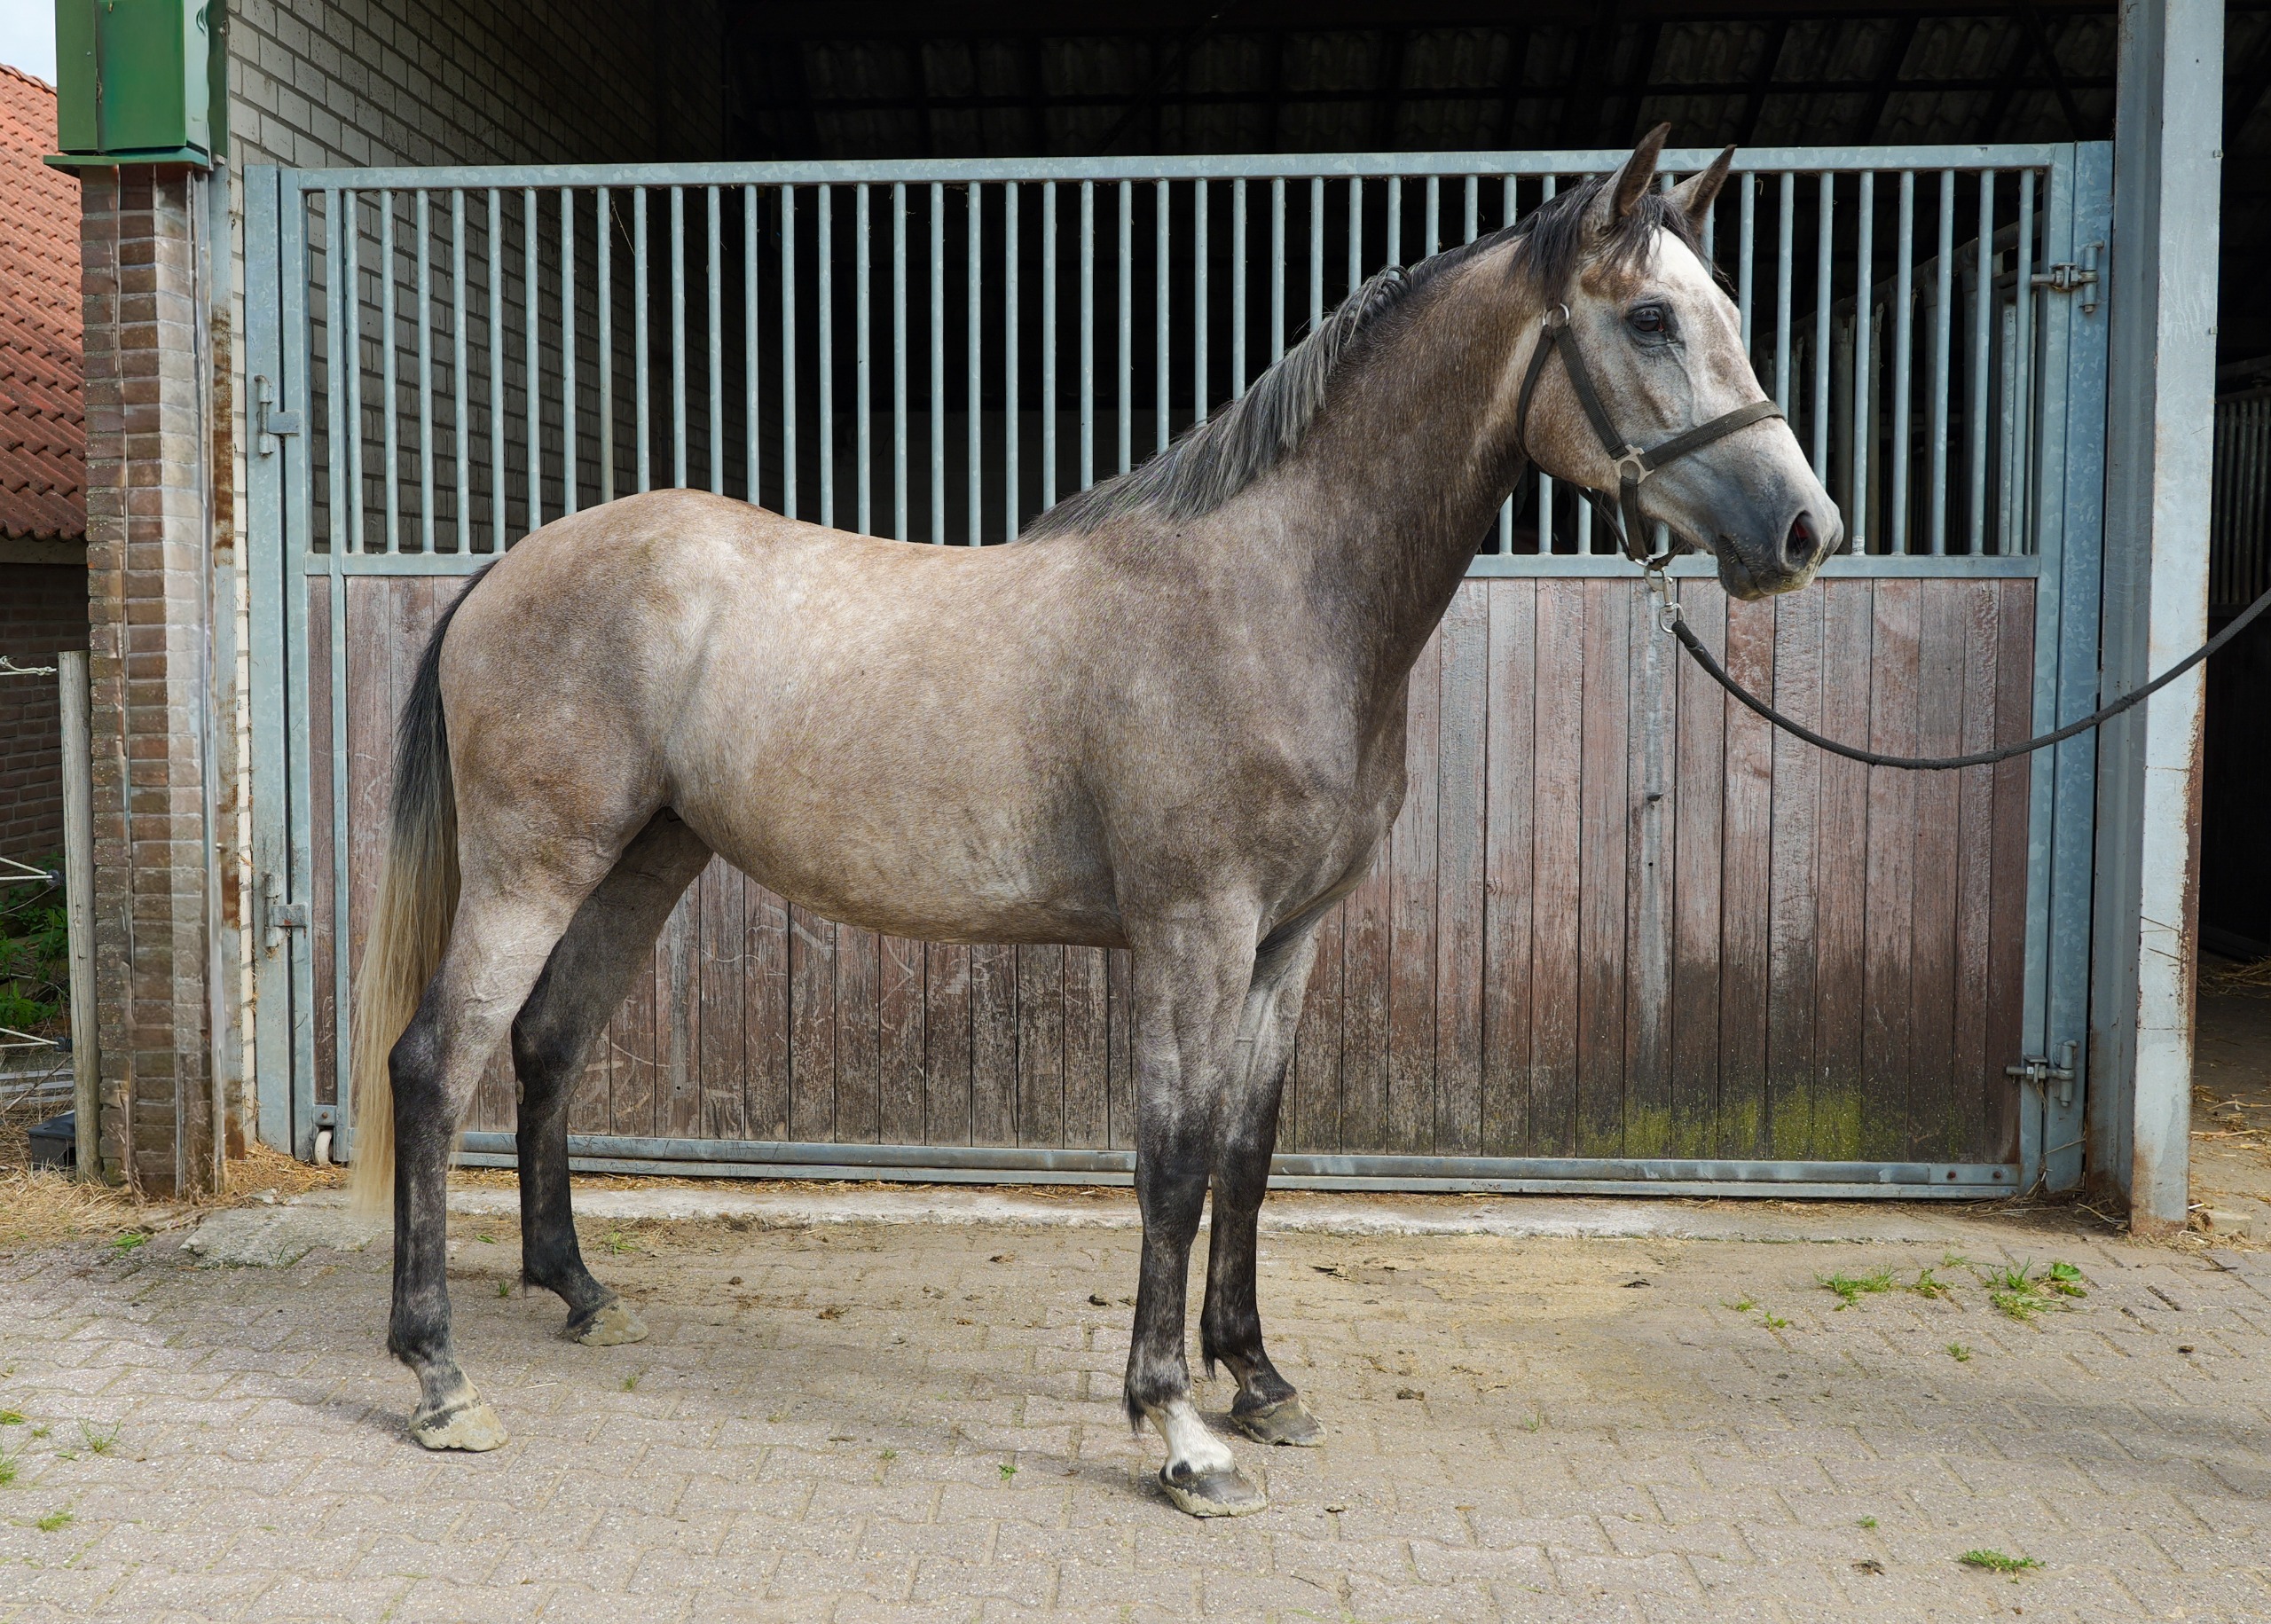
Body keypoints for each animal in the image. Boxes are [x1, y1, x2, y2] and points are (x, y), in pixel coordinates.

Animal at [347, 125, 1839, 1517]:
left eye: (1728, 311)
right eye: (1650, 319)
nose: (1806, 530)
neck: (1272, 594)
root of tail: (507, 568)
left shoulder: (1287, 939)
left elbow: (1247, 1148)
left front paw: (1260, 1379)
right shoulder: (1194, 929)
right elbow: (1171, 1157)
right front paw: (1179, 1429)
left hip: (644, 857)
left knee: (545, 1046)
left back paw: (578, 1289)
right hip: (535, 867)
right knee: (435, 1063)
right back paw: (438, 1375)